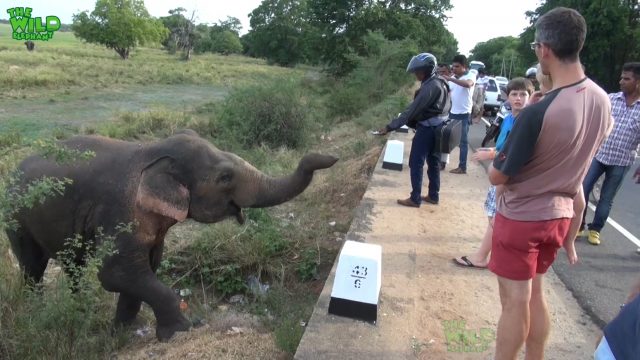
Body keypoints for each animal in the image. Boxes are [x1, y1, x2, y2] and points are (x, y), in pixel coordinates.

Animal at [7, 130, 338, 340]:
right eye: (225, 177)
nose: (331, 157)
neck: (153, 151)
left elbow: (145, 270)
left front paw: (122, 336)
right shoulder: (120, 211)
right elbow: (116, 273)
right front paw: (182, 330)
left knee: (72, 266)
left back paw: (79, 310)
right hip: (15, 218)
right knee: (33, 267)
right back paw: (36, 312)